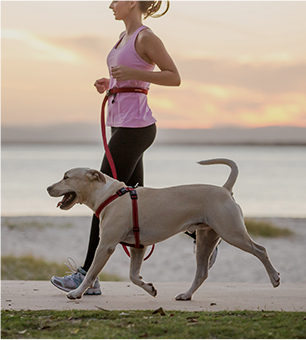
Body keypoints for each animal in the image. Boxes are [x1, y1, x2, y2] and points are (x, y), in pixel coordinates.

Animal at [47, 159, 280, 300]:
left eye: (66, 177)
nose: (48, 188)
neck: (110, 195)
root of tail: (225, 190)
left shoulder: (106, 246)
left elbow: (91, 273)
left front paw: (76, 293)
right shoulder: (138, 247)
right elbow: (133, 276)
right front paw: (149, 288)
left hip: (232, 232)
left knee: (260, 250)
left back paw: (275, 278)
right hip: (206, 238)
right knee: (202, 272)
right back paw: (186, 295)